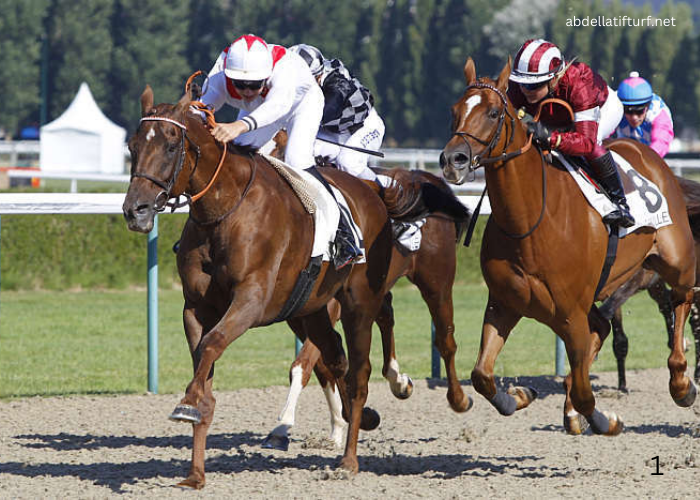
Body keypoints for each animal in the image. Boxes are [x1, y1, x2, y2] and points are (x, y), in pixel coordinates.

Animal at [121, 84, 460, 486]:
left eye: (172, 146)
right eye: (132, 145)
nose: (136, 210)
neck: (226, 210)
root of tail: (376, 195)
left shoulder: (252, 299)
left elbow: (216, 345)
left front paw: (193, 406)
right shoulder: (198, 307)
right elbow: (205, 358)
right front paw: (195, 471)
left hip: (387, 293)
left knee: (373, 364)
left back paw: (354, 456)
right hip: (313, 309)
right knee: (341, 357)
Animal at [440, 56, 696, 436]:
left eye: (493, 113)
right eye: (455, 110)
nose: (452, 160)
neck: (530, 220)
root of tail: (651, 157)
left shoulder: (571, 312)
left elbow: (587, 393)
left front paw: (606, 420)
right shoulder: (504, 303)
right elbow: (482, 374)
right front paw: (517, 396)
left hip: (675, 261)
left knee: (681, 302)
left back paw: (681, 383)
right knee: (602, 328)